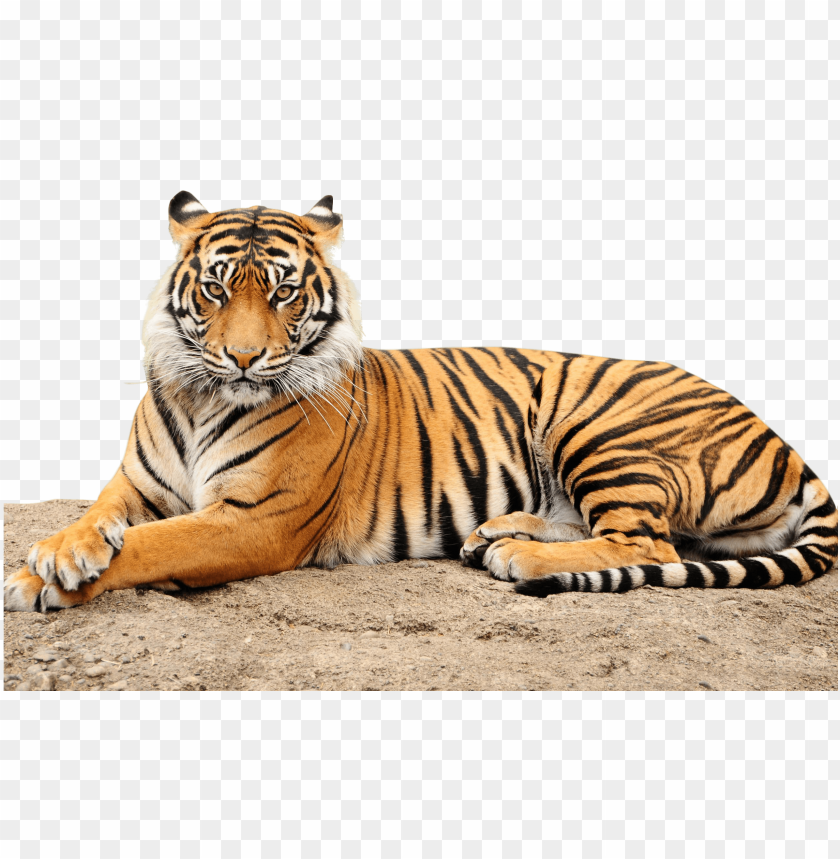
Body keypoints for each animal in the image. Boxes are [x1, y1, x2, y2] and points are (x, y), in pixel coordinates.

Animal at [4, 192, 837, 613]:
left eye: (281, 291)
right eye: (215, 288)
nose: (243, 357)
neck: (203, 394)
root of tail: (785, 439)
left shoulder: (255, 519)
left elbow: (154, 546)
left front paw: (43, 577)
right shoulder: (135, 485)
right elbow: (99, 518)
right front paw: (56, 552)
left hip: (600, 423)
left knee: (650, 543)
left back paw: (518, 555)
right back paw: (495, 533)